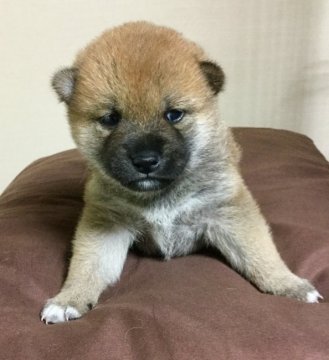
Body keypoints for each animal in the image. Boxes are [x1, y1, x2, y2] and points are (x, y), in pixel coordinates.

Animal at [40, 21, 320, 324]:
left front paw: (289, 284)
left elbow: (261, 254)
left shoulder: (228, 211)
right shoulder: (106, 222)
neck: (161, 195)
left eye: (174, 114)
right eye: (111, 119)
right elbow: (88, 265)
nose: (145, 161)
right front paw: (69, 299)